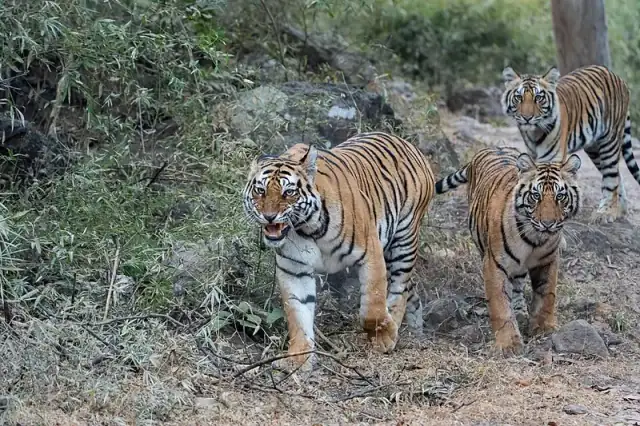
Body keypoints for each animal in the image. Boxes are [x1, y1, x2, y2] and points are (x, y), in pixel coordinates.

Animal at [242, 131, 435, 371]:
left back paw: (394, 325)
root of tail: (409, 144)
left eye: (289, 192)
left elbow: (372, 306)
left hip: (404, 240)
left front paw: (384, 336)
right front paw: (298, 357)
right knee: (410, 288)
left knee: (400, 288)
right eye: (260, 190)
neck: (307, 228)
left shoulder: (370, 253)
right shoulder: (294, 269)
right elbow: (297, 313)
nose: (269, 216)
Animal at [435, 146, 582, 355]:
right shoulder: (494, 263)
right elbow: (500, 303)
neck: (535, 239)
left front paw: (543, 327)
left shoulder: (548, 261)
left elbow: (547, 294)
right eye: (535, 196)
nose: (548, 224)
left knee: (518, 283)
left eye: (560, 196)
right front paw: (509, 344)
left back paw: (520, 309)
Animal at [501, 64, 640, 224]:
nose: (527, 117)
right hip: (594, 149)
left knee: (611, 178)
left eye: (539, 97)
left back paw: (605, 213)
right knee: (617, 176)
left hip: (609, 141)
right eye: (519, 97)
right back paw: (619, 211)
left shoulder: (553, 157)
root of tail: (617, 77)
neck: (534, 132)